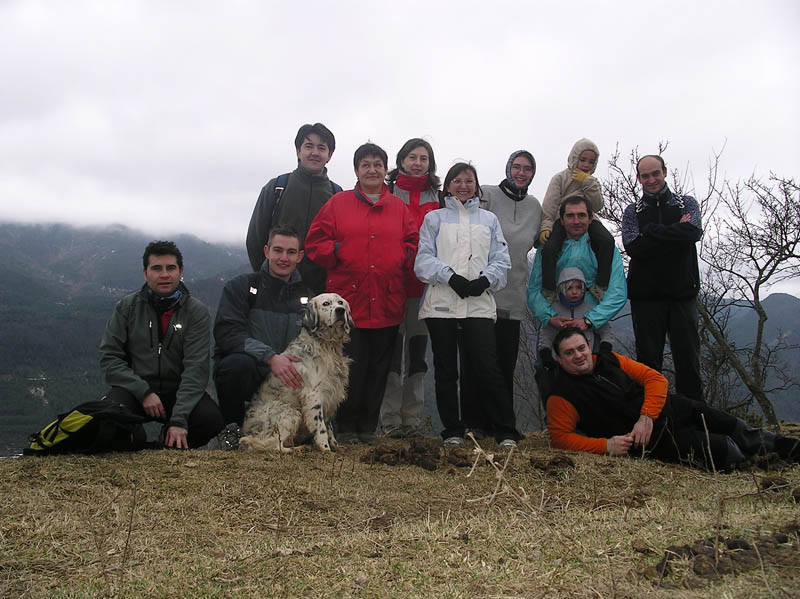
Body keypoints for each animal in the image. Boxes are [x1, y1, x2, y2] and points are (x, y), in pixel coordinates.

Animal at [241, 292, 354, 452]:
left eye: (340, 303)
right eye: (326, 303)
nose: (340, 311)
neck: (326, 345)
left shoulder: (331, 392)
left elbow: (329, 426)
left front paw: (335, 446)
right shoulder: (314, 395)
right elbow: (321, 428)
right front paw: (326, 449)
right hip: (290, 411)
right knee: (276, 445)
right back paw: (297, 449)